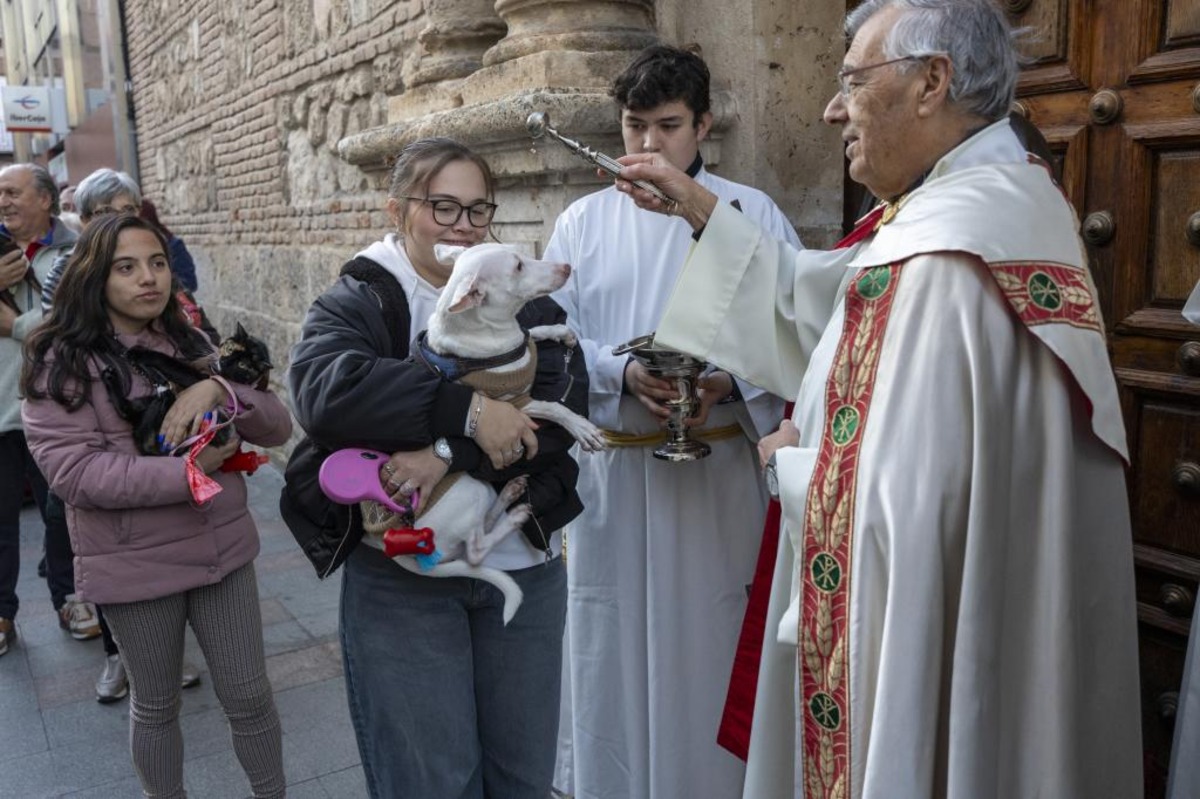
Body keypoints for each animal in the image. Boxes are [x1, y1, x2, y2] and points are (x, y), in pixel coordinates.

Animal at [100, 319, 274, 453]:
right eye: (230, 349)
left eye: (242, 364)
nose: (225, 361)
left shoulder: (199, 378)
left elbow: (171, 363)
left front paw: (140, 354)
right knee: (127, 411)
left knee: (145, 434)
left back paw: (163, 390)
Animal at [379, 242, 604, 623]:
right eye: (517, 266)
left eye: (520, 252)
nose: (566, 266)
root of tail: (404, 554)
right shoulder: (516, 406)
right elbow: (556, 408)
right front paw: (582, 427)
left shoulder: (520, 343)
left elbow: (533, 332)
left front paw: (561, 333)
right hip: (467, 492)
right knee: (475, 552)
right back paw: (514, 516)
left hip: (478, 490)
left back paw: (511, 494)